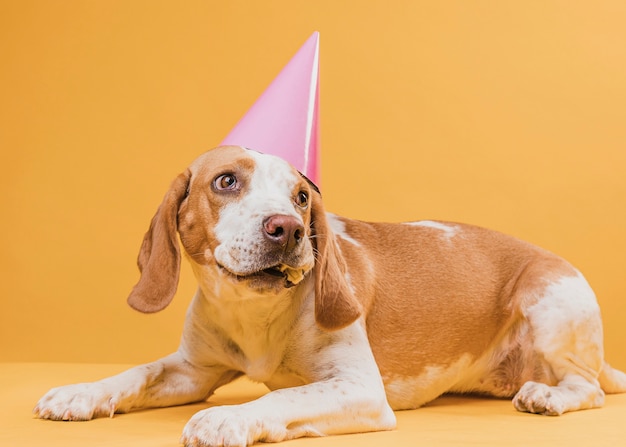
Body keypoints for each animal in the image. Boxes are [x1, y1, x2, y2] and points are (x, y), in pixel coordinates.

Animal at [35, 145, 624, 446]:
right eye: (226, 182)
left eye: (301, 197)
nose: (289, 229)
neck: (254, 312)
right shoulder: (191, 371)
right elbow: (134, 374)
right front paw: (80, 392)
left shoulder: (359, 389)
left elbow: (281, 397)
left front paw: (230, 418)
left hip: (548, 304)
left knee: (587, 388)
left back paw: (549, 395)